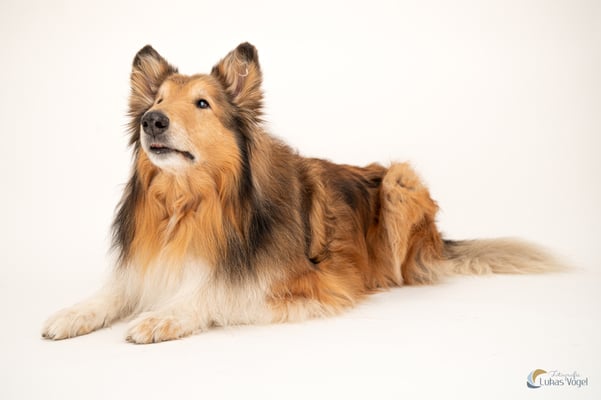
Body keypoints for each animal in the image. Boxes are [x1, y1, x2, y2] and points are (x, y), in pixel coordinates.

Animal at [41, 43, 560, 344]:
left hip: (400, 181)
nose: (152, 121)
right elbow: (111, 292)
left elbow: (216, 292)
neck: (192, 203)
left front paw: (160, 317)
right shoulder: (145, 264)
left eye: (202, 104)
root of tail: (438, 240)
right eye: (157, 101)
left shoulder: (305, 282)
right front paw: (72, 314)